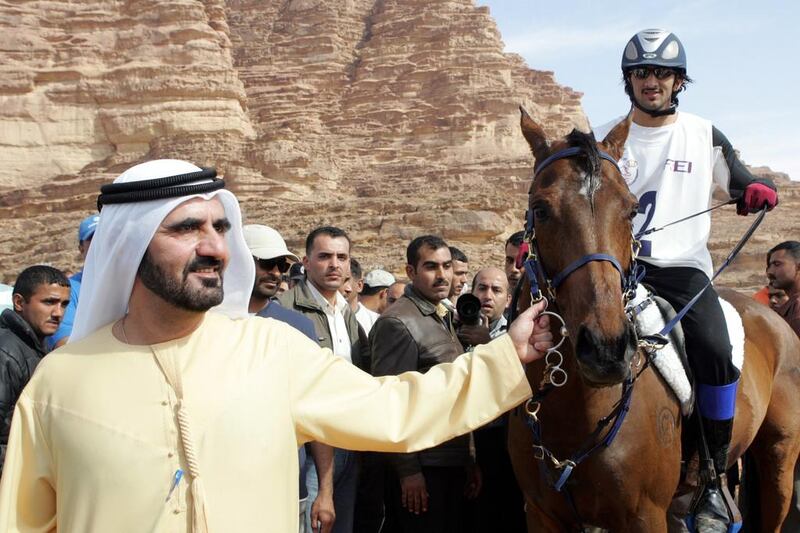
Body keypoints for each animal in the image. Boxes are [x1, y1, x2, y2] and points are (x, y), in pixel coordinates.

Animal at [506, 109, 800, 532]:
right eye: (541, 209)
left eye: (631, 210)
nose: (606, 350)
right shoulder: (542, 515)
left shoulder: (644, 515)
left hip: (778, 462)